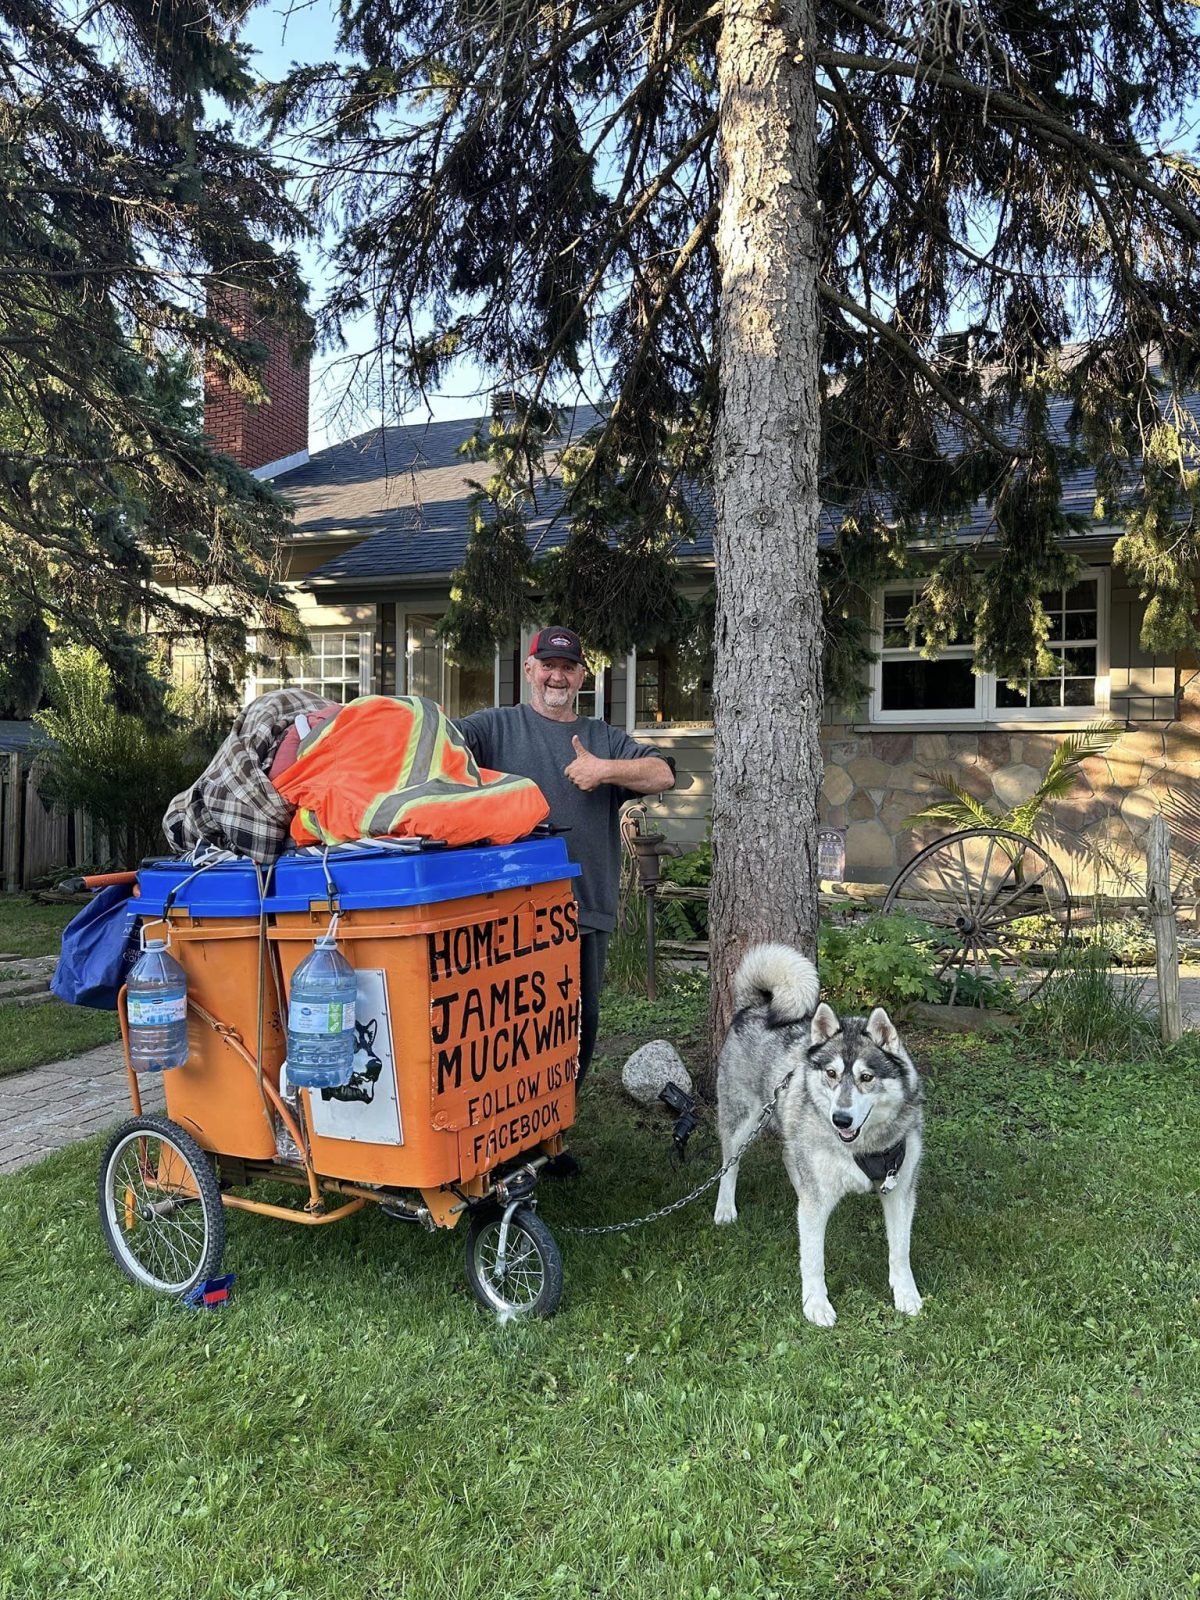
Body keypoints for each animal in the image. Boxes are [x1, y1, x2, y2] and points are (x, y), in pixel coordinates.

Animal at [720, 934, 928, 1324]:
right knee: (730, 1164)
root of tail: (754, 1007)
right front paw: (816, 1304)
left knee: (790, 1157)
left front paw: (906, 1294)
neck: (863, 1148)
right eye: (831, 1073)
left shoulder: (899, 1188)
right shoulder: (817, 1205)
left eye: (866, 1077)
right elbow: (813, 1259)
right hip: (740, 1121)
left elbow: (901, 1250)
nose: (840, 1120)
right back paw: (725, 1209)